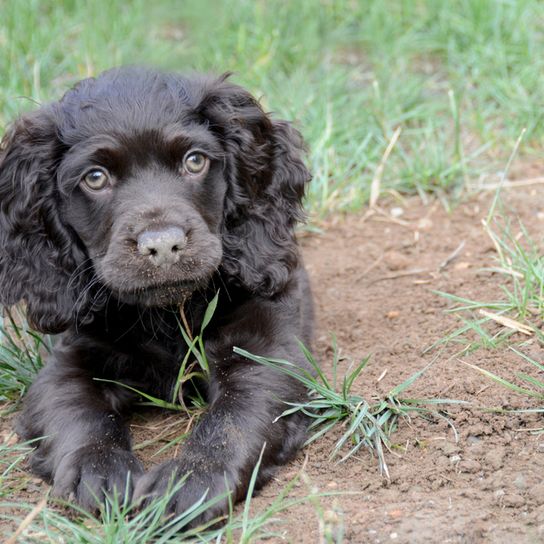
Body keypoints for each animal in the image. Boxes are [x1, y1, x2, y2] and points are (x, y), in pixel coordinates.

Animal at [0, 66, 312, 524]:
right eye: (95, 177)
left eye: (194, 161)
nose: (162, 245)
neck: (167, 313)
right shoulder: (68, 361)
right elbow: (77, 410)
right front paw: (98, 470)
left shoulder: (266, 349)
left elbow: (234, 417)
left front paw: (191, 481)